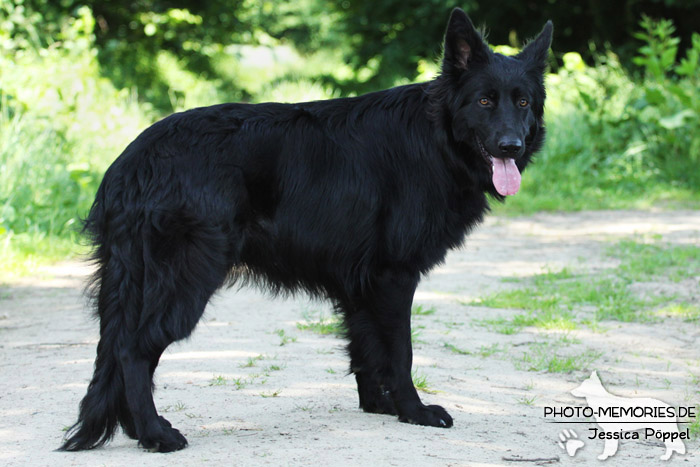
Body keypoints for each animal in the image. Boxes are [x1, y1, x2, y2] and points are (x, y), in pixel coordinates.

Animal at [60, 8, 552, 454]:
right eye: (484, 101)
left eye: (522, 102)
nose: (511, 146)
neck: (437, 138)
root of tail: (131, 164)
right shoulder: (394, 277)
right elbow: (400, 353)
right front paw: (413, 411)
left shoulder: (361, 286)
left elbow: (367, 349)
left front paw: (380, 406)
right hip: (187, 282)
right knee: (133, 352)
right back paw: (155, 435)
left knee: (117, 351)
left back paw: (136, 428)